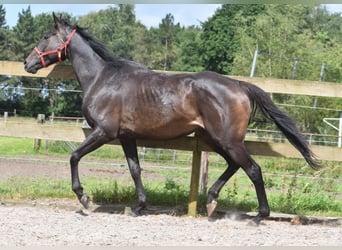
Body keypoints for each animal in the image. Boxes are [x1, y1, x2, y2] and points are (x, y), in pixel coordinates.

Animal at [24, 13, 320, 225]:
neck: (103, 78)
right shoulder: (126, 136)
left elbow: (74, 156)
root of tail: (239, 85)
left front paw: (83, 197)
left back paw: (259, 215)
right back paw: (211, 201)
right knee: (235, 165)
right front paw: (139, 206)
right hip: (216, 139)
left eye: (46, 35)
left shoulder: (104, 132)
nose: (28, 63)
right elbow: (135, 169)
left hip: (227, 140)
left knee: (253, 169)